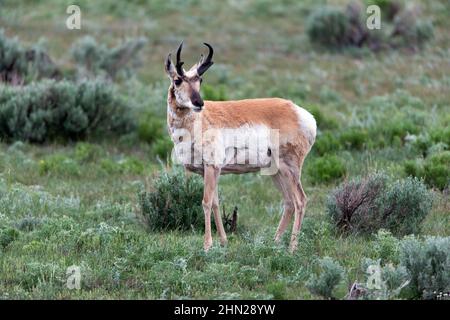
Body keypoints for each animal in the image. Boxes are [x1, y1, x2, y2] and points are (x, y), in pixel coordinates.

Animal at [165, 42, 316, 252]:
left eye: (200, 80)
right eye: (178, 80)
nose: (199, 103)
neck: (199, 121)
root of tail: (303, 114)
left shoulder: (212, 167)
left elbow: (205, 202)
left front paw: (207, 246)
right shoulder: (209, 171)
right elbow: (215, 203)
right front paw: (223, 242)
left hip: (289, 168)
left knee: (300, 200)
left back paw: (291, 249)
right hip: (276, 172)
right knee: (289, 202)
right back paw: (275, 243)